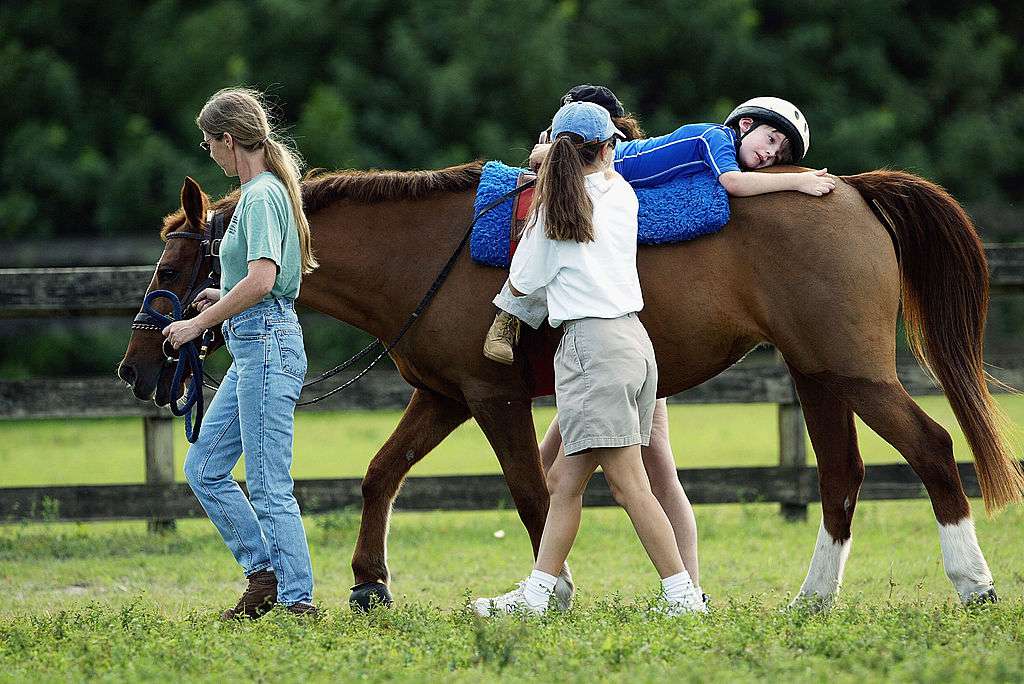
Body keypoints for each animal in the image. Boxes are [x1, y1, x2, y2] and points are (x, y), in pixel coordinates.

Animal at [119, 163, 1024, 610]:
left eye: (170, 269)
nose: (135, 367)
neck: (429, 252)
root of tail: (852, 192)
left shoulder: (492, 398)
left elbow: (531, 492)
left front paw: (553, 591)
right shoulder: (443, 396)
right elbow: (380, 475)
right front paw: (370, 581)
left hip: (857, 373)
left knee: (933, 449)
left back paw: (973, 583)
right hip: (818, 376)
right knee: (841, 478)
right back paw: (813, 598)